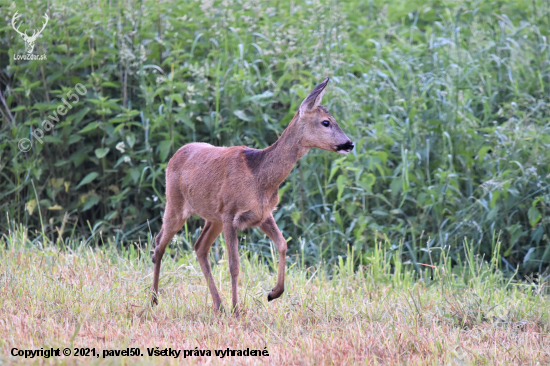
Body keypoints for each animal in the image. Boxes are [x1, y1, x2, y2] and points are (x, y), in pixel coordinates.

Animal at [152, 78, 354, 314]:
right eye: (326, 122)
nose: (349, 143)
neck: (260, 176)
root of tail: (174, 156)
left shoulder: (262, 214)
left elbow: (283, 244)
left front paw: (273, 293)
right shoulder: (231, 214)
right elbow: (234, 265)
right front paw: (237, 309)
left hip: (213, 217)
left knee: (199, 247)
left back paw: (218, 305)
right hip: (176, 202)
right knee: (159, 244)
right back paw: (154, 300)